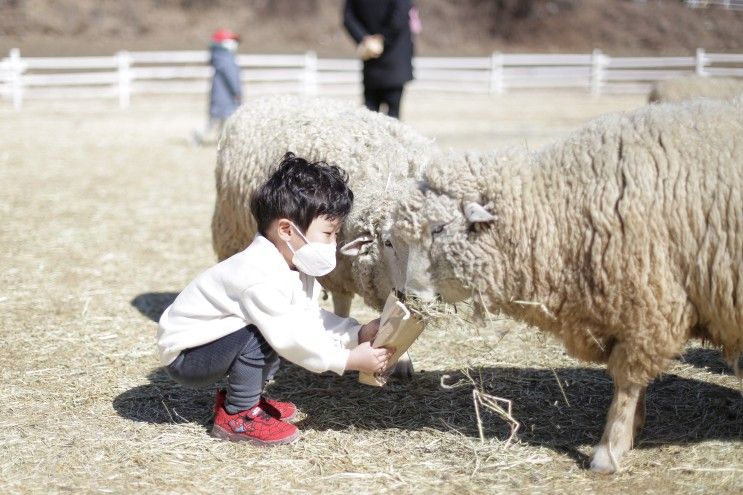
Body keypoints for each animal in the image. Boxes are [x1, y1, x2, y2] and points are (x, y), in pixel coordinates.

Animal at [392, 97, 740, 472]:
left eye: (439, 228)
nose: (408, 295)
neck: (560, 212)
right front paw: (634, 428)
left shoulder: (648, 304)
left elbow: (627, 382)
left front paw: (610, 449)